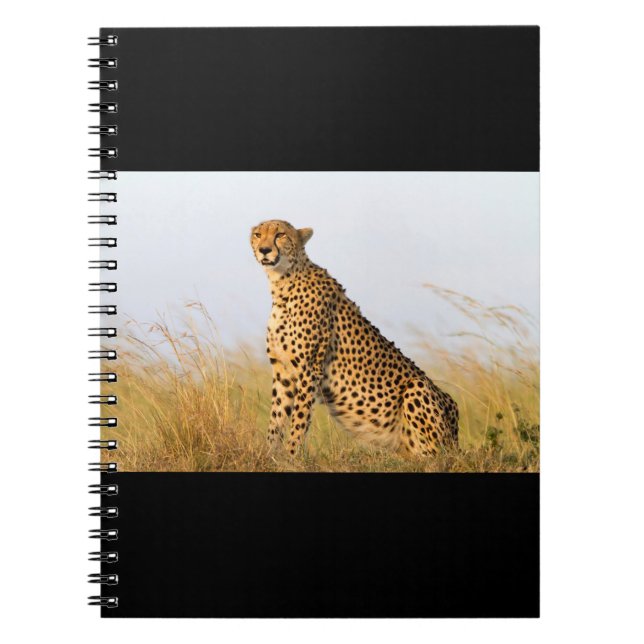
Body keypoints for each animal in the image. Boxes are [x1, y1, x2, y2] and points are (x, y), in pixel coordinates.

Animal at [250, 219, 459, 458]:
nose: (264, 250)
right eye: (258, 235)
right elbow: (276, 418)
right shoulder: (282, 370)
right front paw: (269, 455)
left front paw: (292, 456)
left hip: (418, 389)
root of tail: (456, 439)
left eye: (280, 235)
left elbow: (299, 420)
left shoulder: (309, 369)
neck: (282, 282)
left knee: (436, 456)